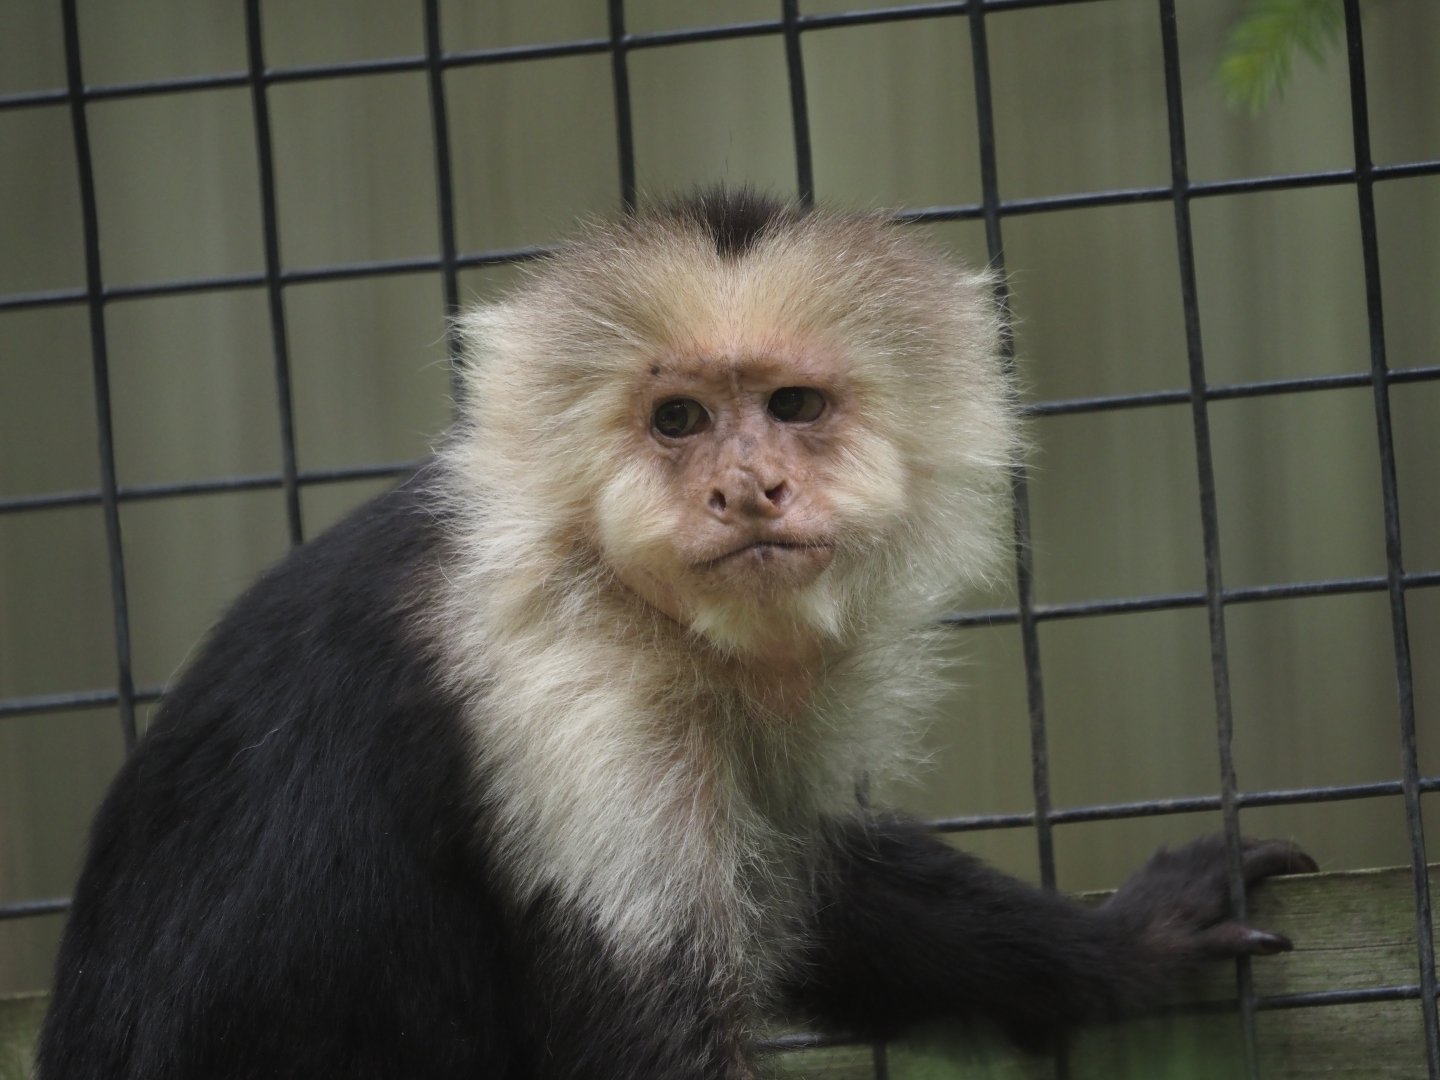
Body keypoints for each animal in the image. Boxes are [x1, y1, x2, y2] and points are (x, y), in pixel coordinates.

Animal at [36, 189, 1314, 1080]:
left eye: (791, 407)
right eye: (680, 420)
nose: (748, 487)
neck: (617, 593)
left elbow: (810, 881)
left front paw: (1119, 948)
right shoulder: (573, 693)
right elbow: (651, 1044)